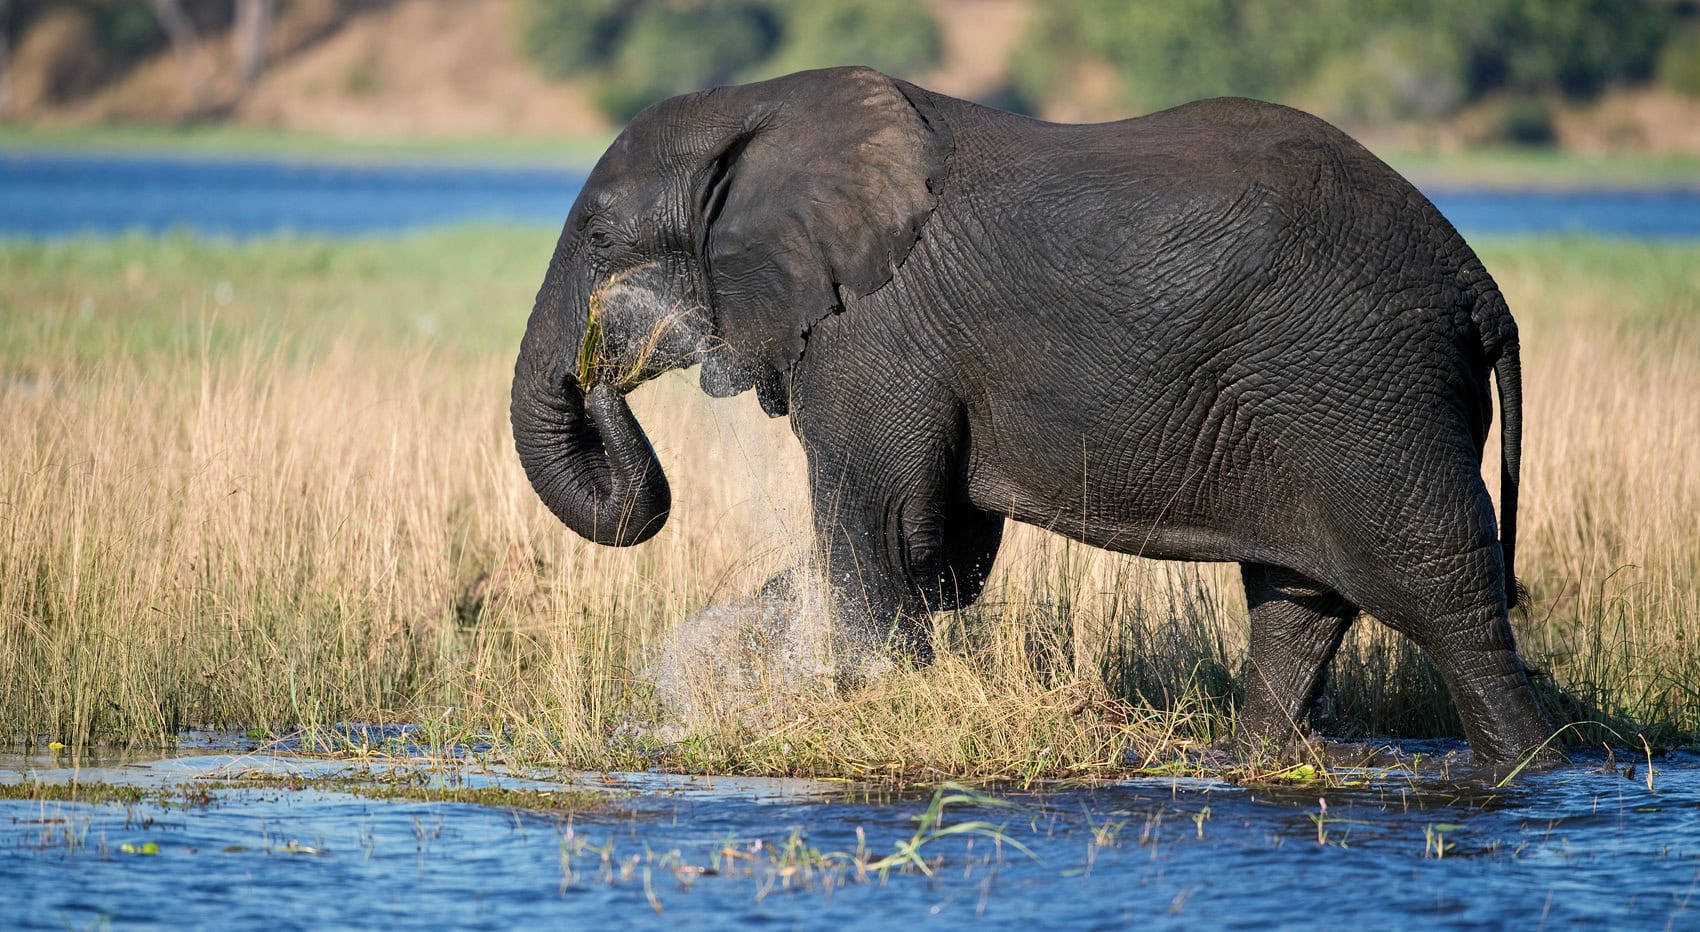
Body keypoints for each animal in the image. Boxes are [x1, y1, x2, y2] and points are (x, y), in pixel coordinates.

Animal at [510, 66, 1554, 772]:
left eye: (599, 234)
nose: (604, 361)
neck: (754, 109)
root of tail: (1481, 285)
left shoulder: (873, 330)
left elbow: (883, 534)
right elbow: (940, 553)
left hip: (1371, 390)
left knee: (1444, 593)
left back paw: (1524, 768)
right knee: (1299, 602)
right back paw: (1247, 764)